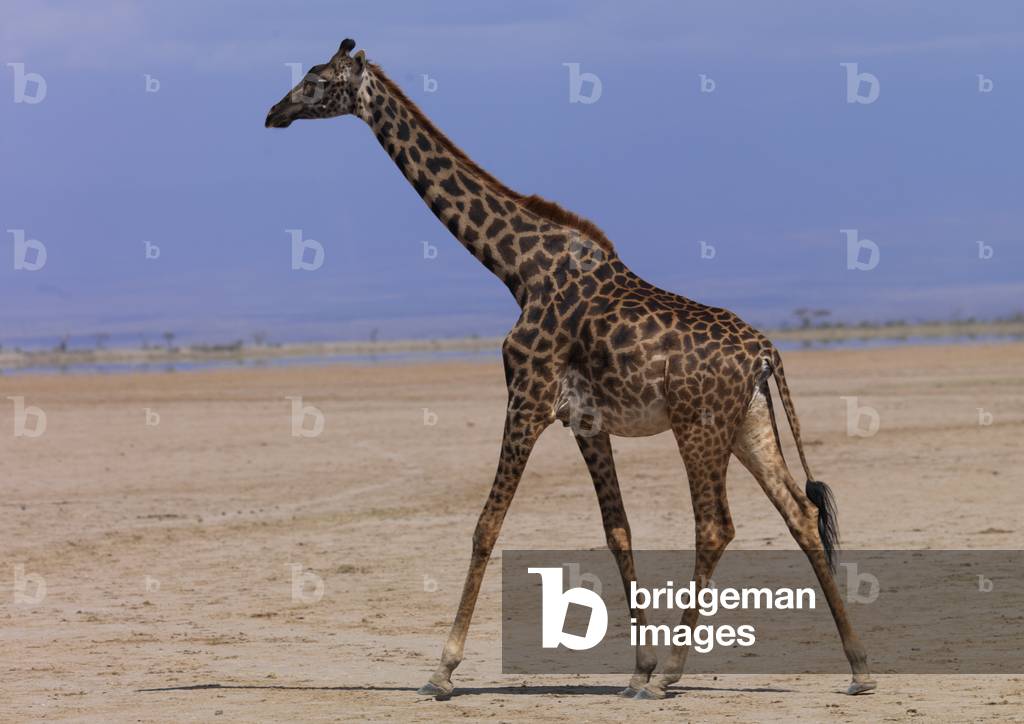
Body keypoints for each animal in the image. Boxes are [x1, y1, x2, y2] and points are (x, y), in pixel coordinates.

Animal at [265, 39, 876, 701]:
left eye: (316, 79)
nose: (273, 113)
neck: (516, 267)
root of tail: (766, 351)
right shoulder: (585, 421)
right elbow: (618, 531)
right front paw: (637, 668)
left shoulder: (527, 399)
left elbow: (486, 525)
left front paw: (443, 669)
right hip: (750, 423)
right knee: (801, 514)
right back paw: (858, 667)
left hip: (701, 425)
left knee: (716, 525)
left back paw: (678, 673)